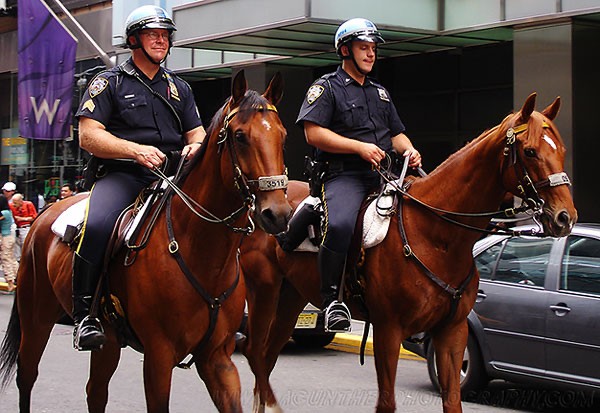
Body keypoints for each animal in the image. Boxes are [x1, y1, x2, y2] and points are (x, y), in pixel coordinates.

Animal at [0, 71, 290, 412]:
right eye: (240, 136)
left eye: (283, 136)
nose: (278, 214)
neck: (201, 252)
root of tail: (42, 215)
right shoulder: (158, 356)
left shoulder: (218, 358)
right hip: (36, 318)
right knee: (27, 376)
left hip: (109, 340)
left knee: (95, 392)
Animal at [239, 93, 576, 412]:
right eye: (530, 151)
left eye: (561, 150)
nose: (565, 217)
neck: (438, 235)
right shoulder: (388, 330)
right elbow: (387, 402)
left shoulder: (452, 332)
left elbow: (452, 400)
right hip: (263, 294)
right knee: (255, 354)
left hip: (291, 299)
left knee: (266, 360)